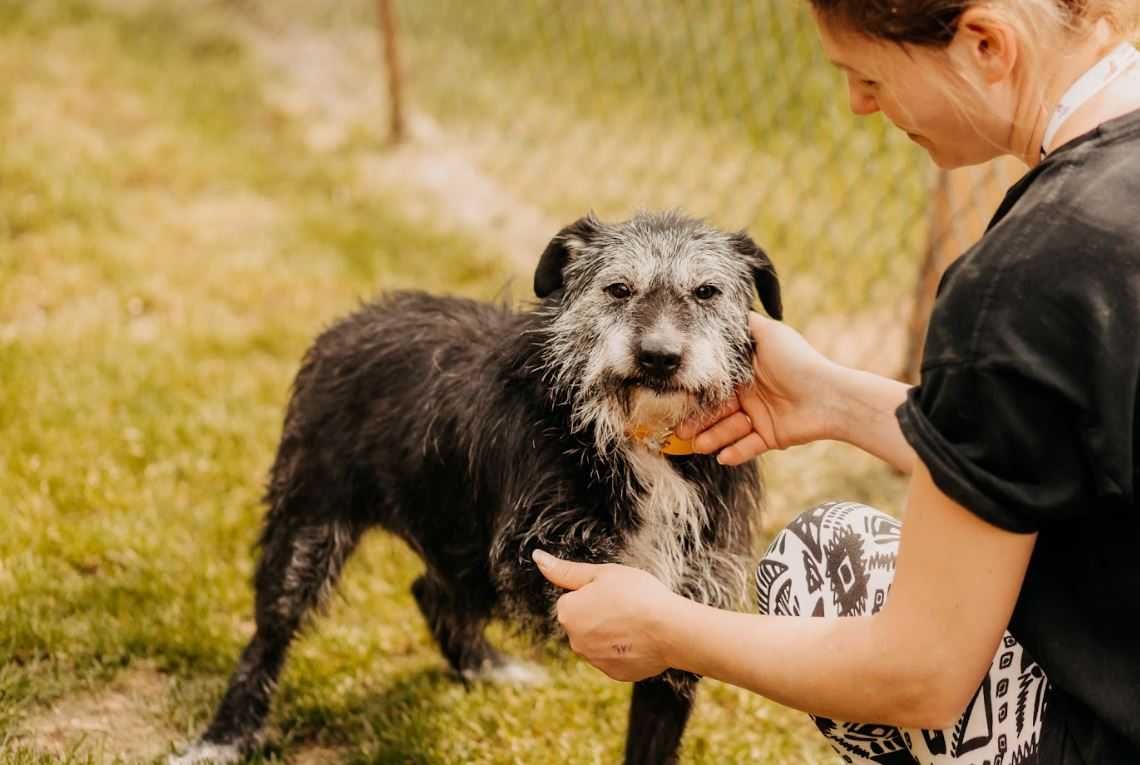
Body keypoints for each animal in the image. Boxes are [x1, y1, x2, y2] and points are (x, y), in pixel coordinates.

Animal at [171, 209, 784, 765]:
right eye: (618, 288)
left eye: (706, 291)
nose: (659, 357)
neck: (640, 442)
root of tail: (358, 315)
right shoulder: (533, 553)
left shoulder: (687, 602)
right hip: (311, 524)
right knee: (271, 631)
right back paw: (225, 736)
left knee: (430, 588)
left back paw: (485, 666)